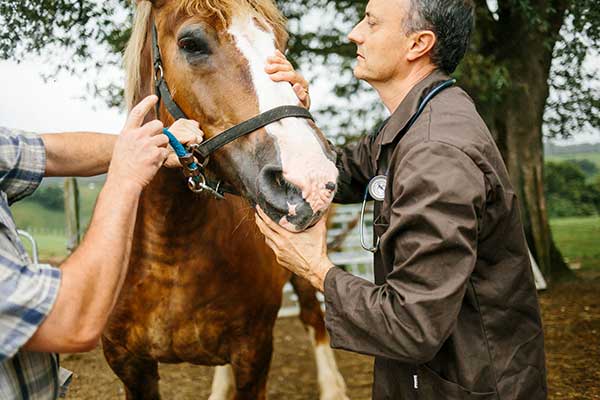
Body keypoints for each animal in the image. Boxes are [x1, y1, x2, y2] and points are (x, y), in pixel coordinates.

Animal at [101, 0, 350, 400]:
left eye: (280, 43)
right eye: (190, 43)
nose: (311, 178)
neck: (168, 250)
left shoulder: (255, 354)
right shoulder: (129, 366)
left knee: (314, 316)